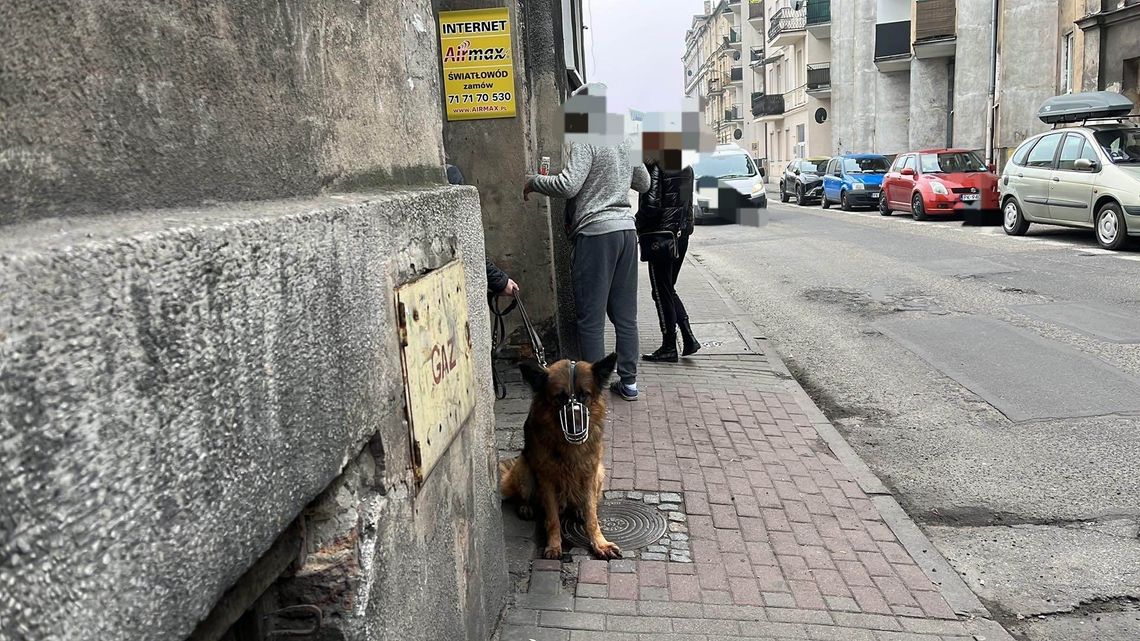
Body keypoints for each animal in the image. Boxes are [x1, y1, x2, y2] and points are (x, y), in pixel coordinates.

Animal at [501, 351, 624, 556]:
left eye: (584, 395)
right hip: (524, 469)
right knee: (523, 496)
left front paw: (600, 543)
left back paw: (578, 510)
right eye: (560, 397)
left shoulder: (589, 473)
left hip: (600, 472)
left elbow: (592, 516)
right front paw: (554, 545)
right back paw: (526, 507)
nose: (577, 428)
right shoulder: (547, 479)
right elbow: (552, 518)